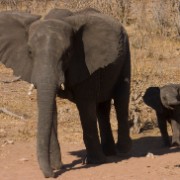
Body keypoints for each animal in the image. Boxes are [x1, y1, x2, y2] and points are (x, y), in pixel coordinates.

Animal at [0, 9, 132, 178]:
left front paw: (95, 162)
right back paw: (109, 152)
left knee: (121, 100)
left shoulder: (85, 65)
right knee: (103, 107)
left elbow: (86, 106)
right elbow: (52, 108)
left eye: (68, 53)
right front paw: (57, 166)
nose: (50, 174)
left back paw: (122, 152)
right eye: (29, 52)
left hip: (126, 54)